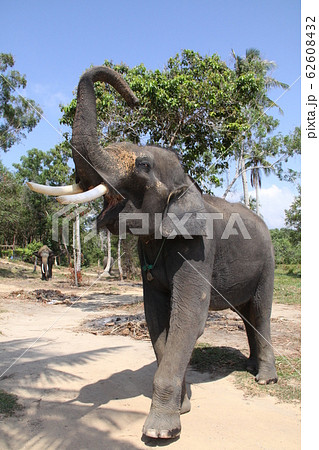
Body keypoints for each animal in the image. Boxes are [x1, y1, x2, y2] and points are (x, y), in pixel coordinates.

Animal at [27, 65, 278, 438]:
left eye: (142, 165)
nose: (133, 98)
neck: (187, 184)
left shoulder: (198, 248)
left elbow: (189, 318)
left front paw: (160, 431)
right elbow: (156, 317)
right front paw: (183, 407)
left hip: (269, 264)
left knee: (260, 312)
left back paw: (264, 379)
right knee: (248, 315)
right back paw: (249, 367)